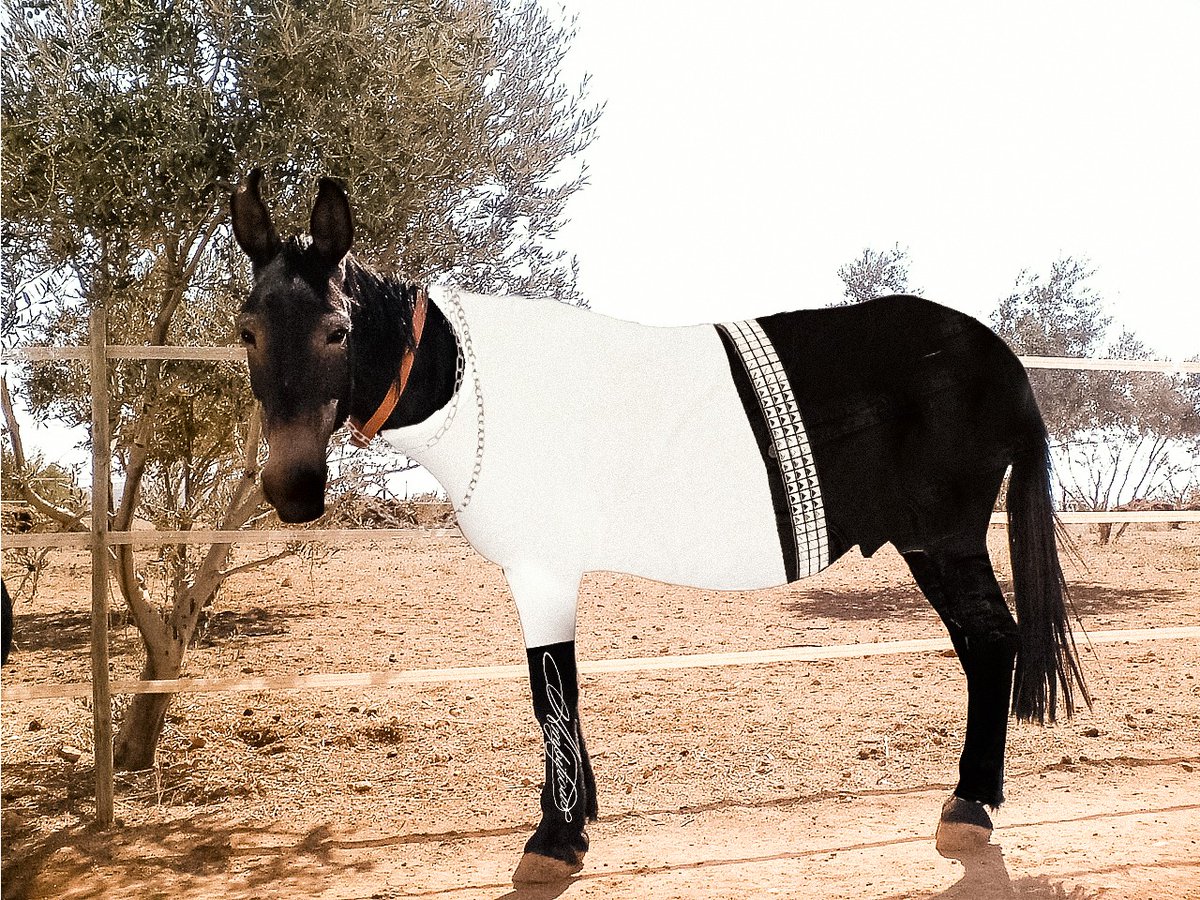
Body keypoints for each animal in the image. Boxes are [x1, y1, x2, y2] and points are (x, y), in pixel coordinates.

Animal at [230, 170, 1088, 883]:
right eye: (247, 332)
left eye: (337, 331)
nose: (292, 489)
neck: (478, 388)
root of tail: (1000, 354)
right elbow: (557, 692)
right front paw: (576, 818)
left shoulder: (542, 568)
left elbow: (552, 691)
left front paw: (556, 837)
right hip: (930, 542)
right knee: (980, 645)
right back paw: (971, 800)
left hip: (943, 536)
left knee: (993, 641)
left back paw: (971, 806)